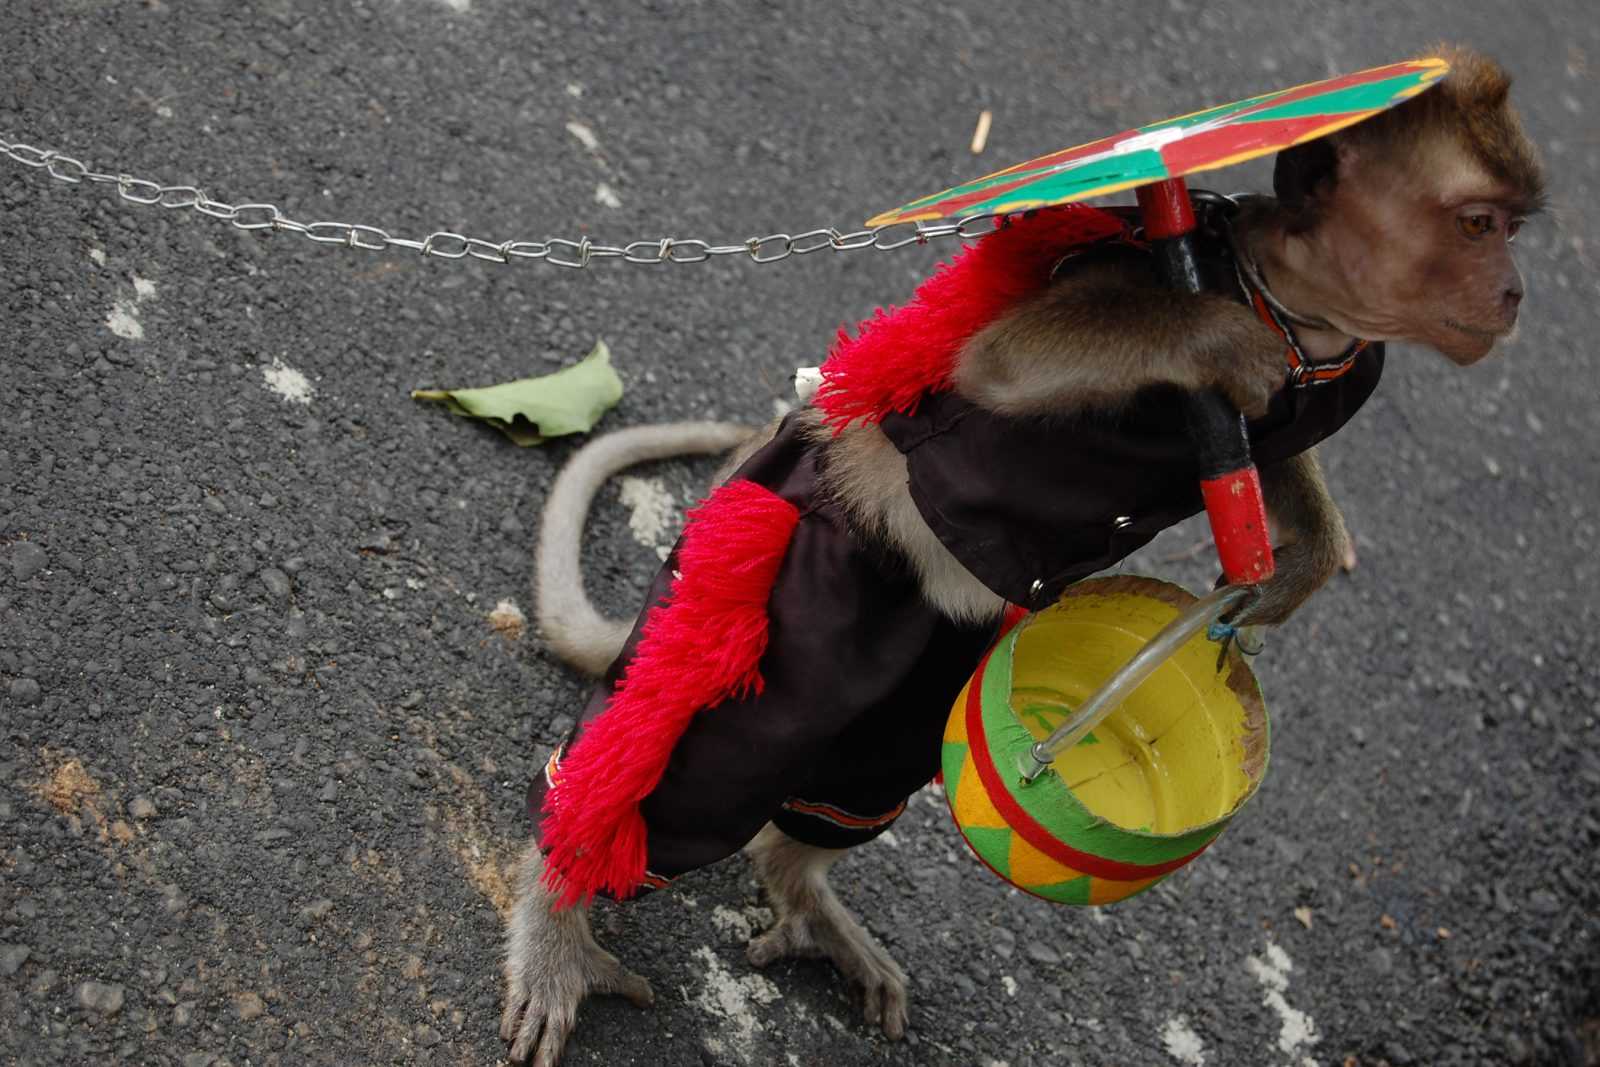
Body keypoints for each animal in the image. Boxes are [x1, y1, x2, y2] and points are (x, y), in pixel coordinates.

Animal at [496, 45, 1536, 1062]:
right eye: (1477, 223)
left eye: (1512, 226)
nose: (1514, 291)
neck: (1300, 316)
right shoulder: (1161, 275)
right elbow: (1004, 367)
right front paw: (1212, 342)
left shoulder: (1339, 376)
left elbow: (1269, 452)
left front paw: (1300, 559)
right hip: (806, 579)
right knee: (704, 768)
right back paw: (559, 916)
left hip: (927, 662)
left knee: (861, 777)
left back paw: (804, 895)